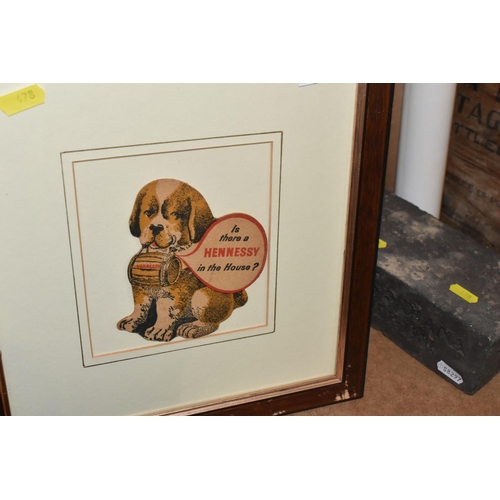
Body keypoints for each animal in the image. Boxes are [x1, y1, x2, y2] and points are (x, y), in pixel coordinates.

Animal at [117, 180, 250, 344]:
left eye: (175, 215)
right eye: (148, 213)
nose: (155, 227)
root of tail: (236, 298)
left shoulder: (176, 292)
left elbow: (166, 310)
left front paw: (159, 329)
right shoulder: (141, 286)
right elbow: (140, 305)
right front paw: (133, 319)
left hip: (203, 296)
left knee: (212, 321)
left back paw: (194, 327)